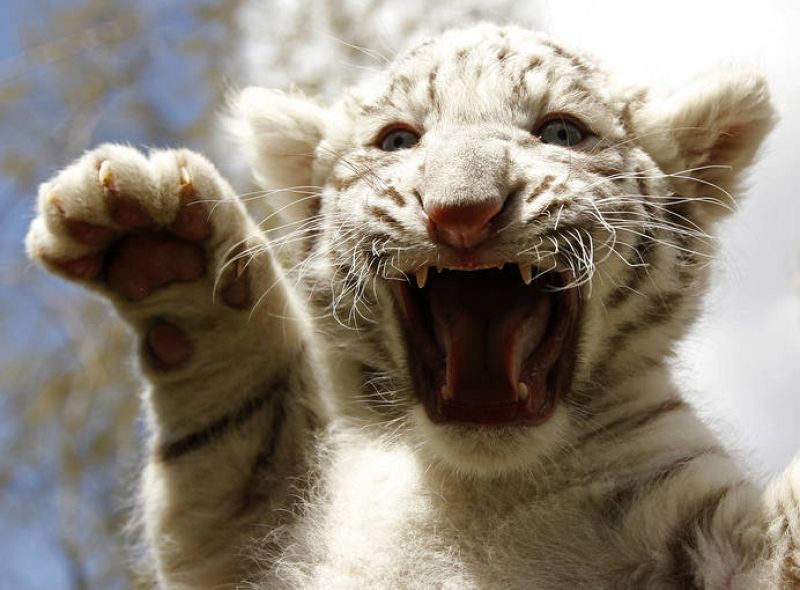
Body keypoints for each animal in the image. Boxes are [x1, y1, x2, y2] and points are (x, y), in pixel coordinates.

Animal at [25, 23, 798, 589]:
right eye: (398, 139)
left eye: (561, 132)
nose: (462, 212)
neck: (477, 483)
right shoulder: (243, 539)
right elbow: (237, 424)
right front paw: (156, 232)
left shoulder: (722, 540)